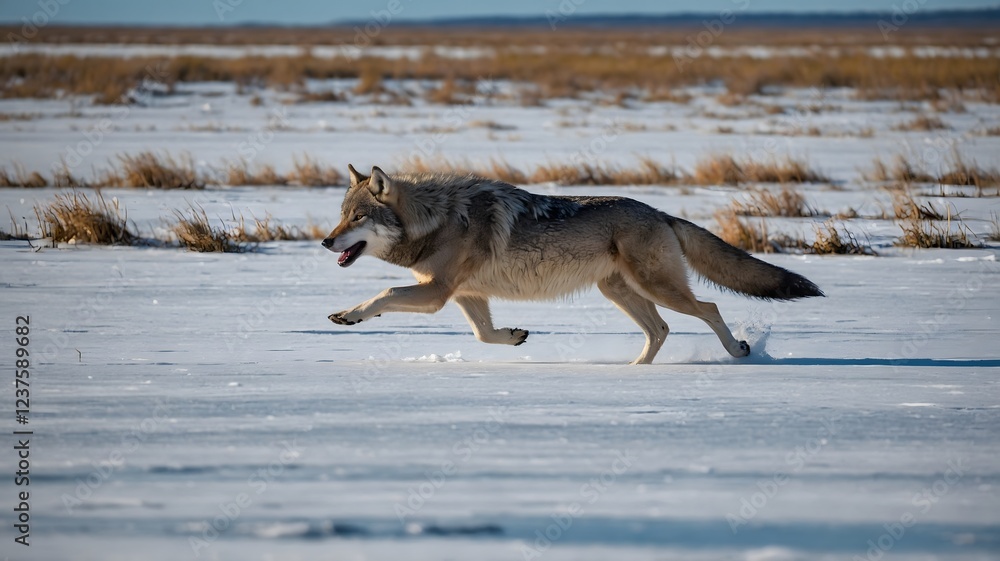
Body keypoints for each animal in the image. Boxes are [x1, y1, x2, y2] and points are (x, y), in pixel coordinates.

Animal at [322, 165, 823, 364]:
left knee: (710, 310)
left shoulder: (437, 293)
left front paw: (349, 315)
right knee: (660, 330)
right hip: (619, 292)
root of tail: (659, 211)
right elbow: (484, 335)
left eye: (358, 217)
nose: (326, 242)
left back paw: (738, 351)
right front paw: (514, 335)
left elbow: (385, 293)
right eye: (341, 214)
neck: (437, 219)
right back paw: (635, 370)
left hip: (656, 288)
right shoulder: (467, 295)